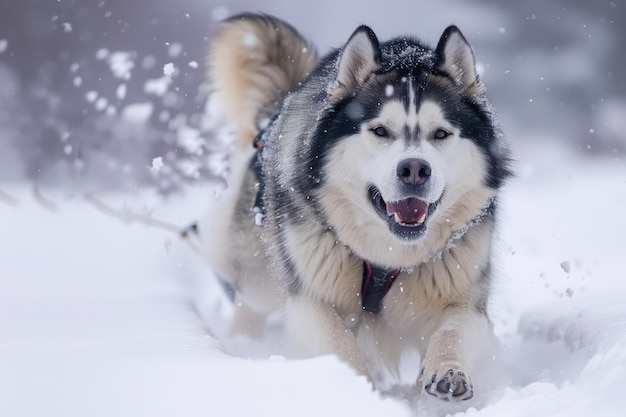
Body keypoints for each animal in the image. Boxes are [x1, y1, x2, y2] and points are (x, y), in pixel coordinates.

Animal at [206, 13, 512, 404]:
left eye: (441, 134)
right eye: (380, 131)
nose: (415, 169)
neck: (389, 256)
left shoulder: (462, 290)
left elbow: (454, 329)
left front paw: (448, 371)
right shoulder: (310, 295)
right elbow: (337, 342)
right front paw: (355, 387)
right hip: (259, 274)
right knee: (249, 301)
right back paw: (243, 346)